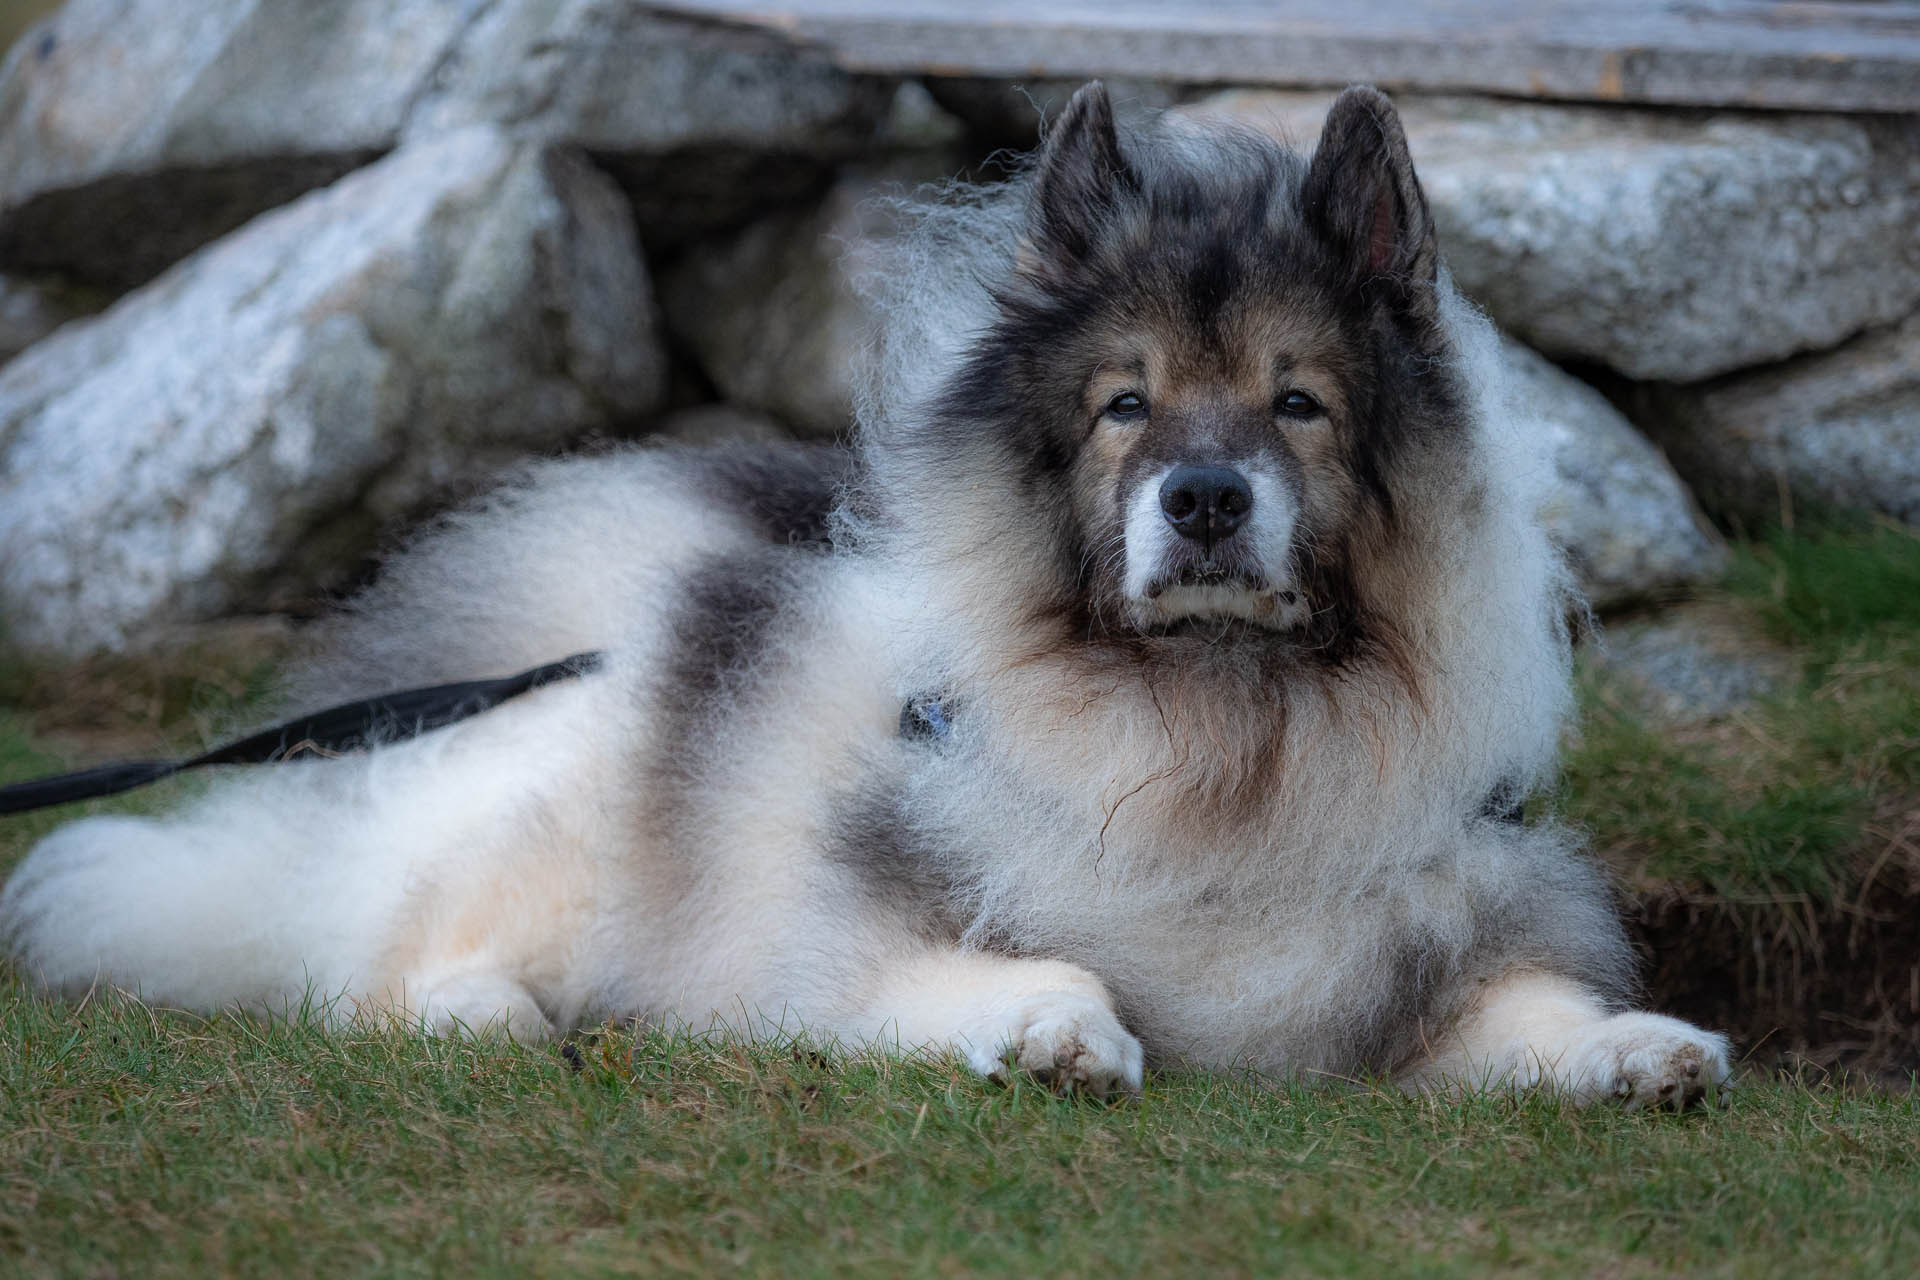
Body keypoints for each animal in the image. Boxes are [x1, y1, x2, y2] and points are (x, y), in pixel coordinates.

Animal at [3, 82, 1743, 1105]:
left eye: (1298, 403)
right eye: (1126, 406)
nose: (1202, 497)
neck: (1214, 745)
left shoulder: (1425, 967)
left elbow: (1528, 1012)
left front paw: (1643, 1051)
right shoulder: (849, 941)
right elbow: (1034, 967)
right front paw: (1059, 1034)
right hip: (568, 822)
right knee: (374, 958)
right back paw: (494, 1016)